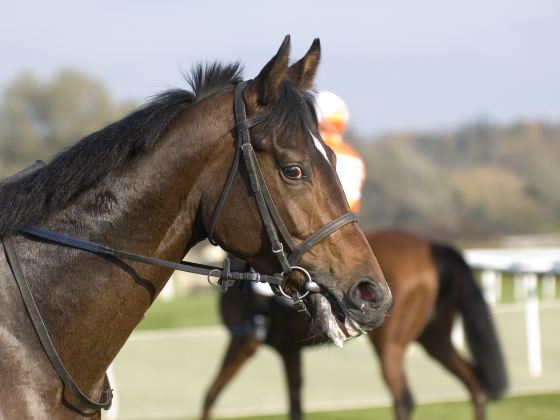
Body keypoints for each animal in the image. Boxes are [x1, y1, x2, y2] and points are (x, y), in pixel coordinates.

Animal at [201, 230, 508, 420]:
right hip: (435, 339)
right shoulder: (289, 352)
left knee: (404, 399)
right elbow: (295, 406)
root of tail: (431, 247)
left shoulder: (244, 341)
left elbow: (209, 396)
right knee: (475, 384)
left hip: (389, 344)